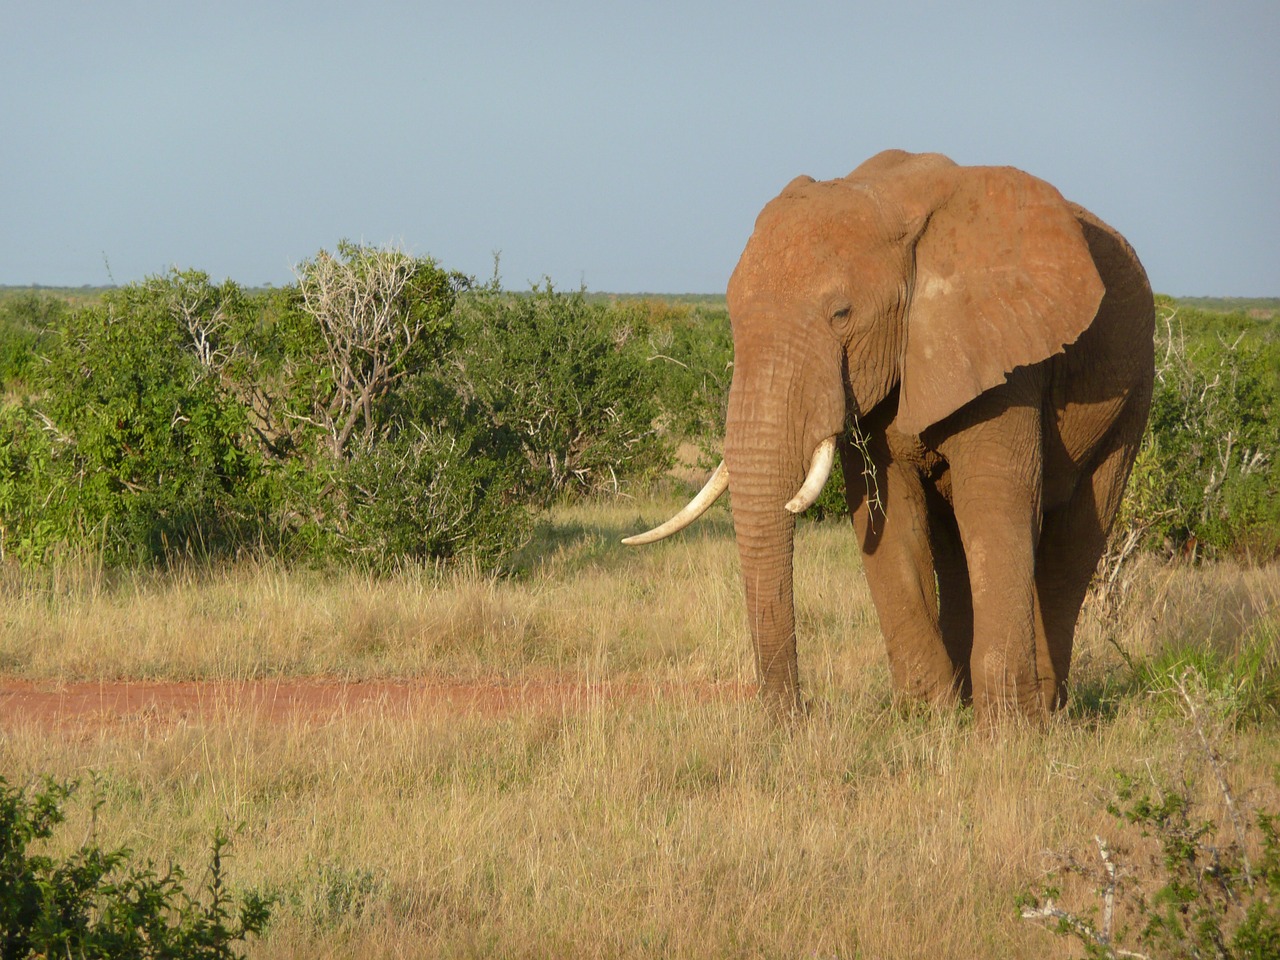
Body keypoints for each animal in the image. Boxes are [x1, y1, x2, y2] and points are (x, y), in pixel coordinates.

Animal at [624, 148, 1157, 721]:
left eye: (842, 314)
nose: (795, 717)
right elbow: (887, 511)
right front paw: (928, 719)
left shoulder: (1008, 355)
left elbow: (995, 504)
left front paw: (1006, 733)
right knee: (953, 541)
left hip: (1133, 393)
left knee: (1074, 538)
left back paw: (1048, 711)